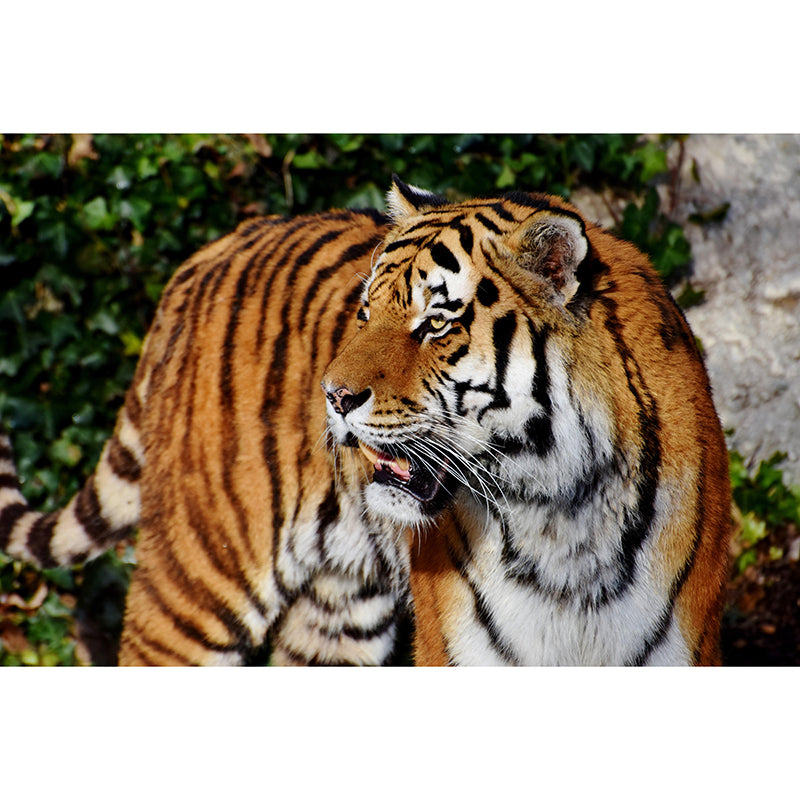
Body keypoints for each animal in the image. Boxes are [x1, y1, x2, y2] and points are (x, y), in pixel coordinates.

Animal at [0, 176, 731, 666]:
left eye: (435, 323)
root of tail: (208, 252)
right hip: (196, 579)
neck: (561, 518)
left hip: (337, 613)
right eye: (366, 311)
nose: (333, 396)